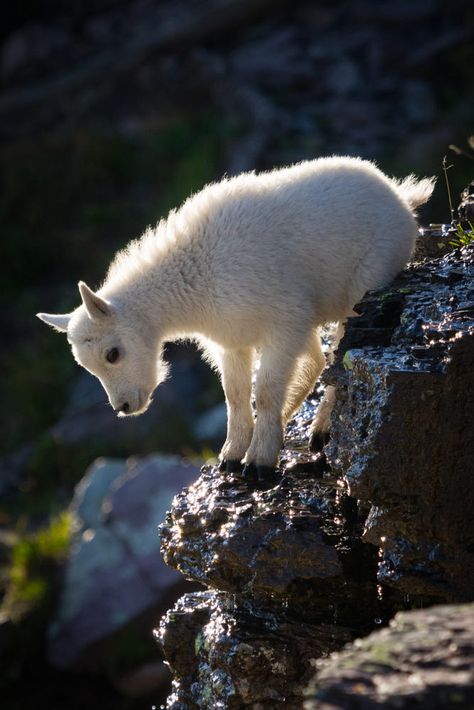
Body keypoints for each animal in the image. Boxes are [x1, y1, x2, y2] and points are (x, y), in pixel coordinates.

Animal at [39, 156, 436, 478]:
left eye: (112, 354)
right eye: (87, 366)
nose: (123, 406)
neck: (195, 279)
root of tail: (401, 198)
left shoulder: (283, 321)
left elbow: (266, 388)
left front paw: (259, 462)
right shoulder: (232, 340)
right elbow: (235, 392)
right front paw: (231, 455)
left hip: (365, 286)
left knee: (341, 359)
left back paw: (320, 430)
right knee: (318, 359)